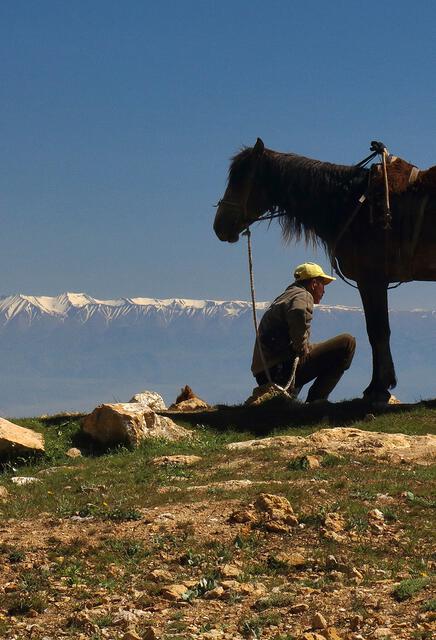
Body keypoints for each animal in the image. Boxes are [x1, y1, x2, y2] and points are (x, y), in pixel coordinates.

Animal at [214, 138, 436, 402]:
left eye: (241, 179)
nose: (219, 225)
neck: (355, 206)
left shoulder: (372, 280)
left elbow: (378, 331)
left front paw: (377, 387)